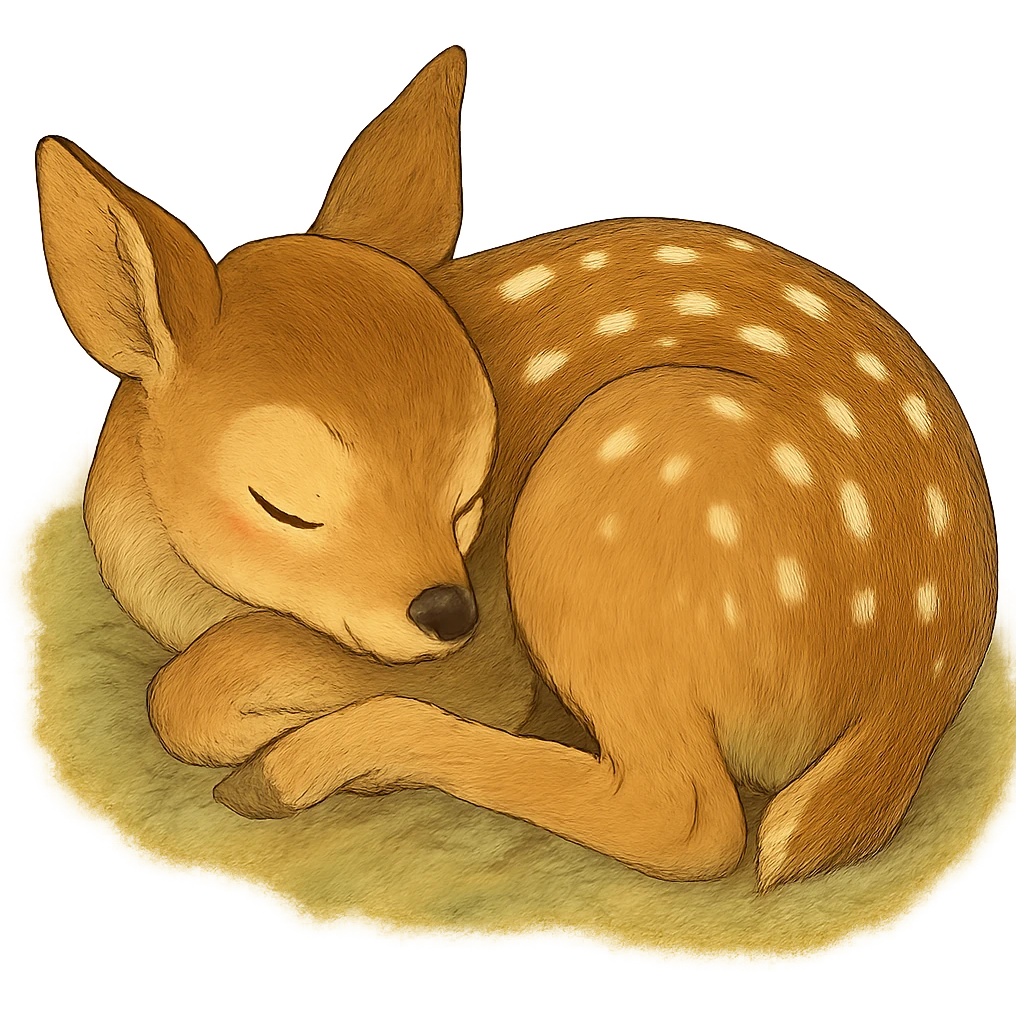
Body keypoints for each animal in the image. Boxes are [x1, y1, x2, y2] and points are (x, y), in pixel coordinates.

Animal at [33, 45, 998, 894]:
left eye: (469, 497)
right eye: (285, 505)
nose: (447, 612)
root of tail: (915, 694)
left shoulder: (491, 651)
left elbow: (192, 693)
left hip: (613, 506)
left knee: (689, 821)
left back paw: (295, 773)